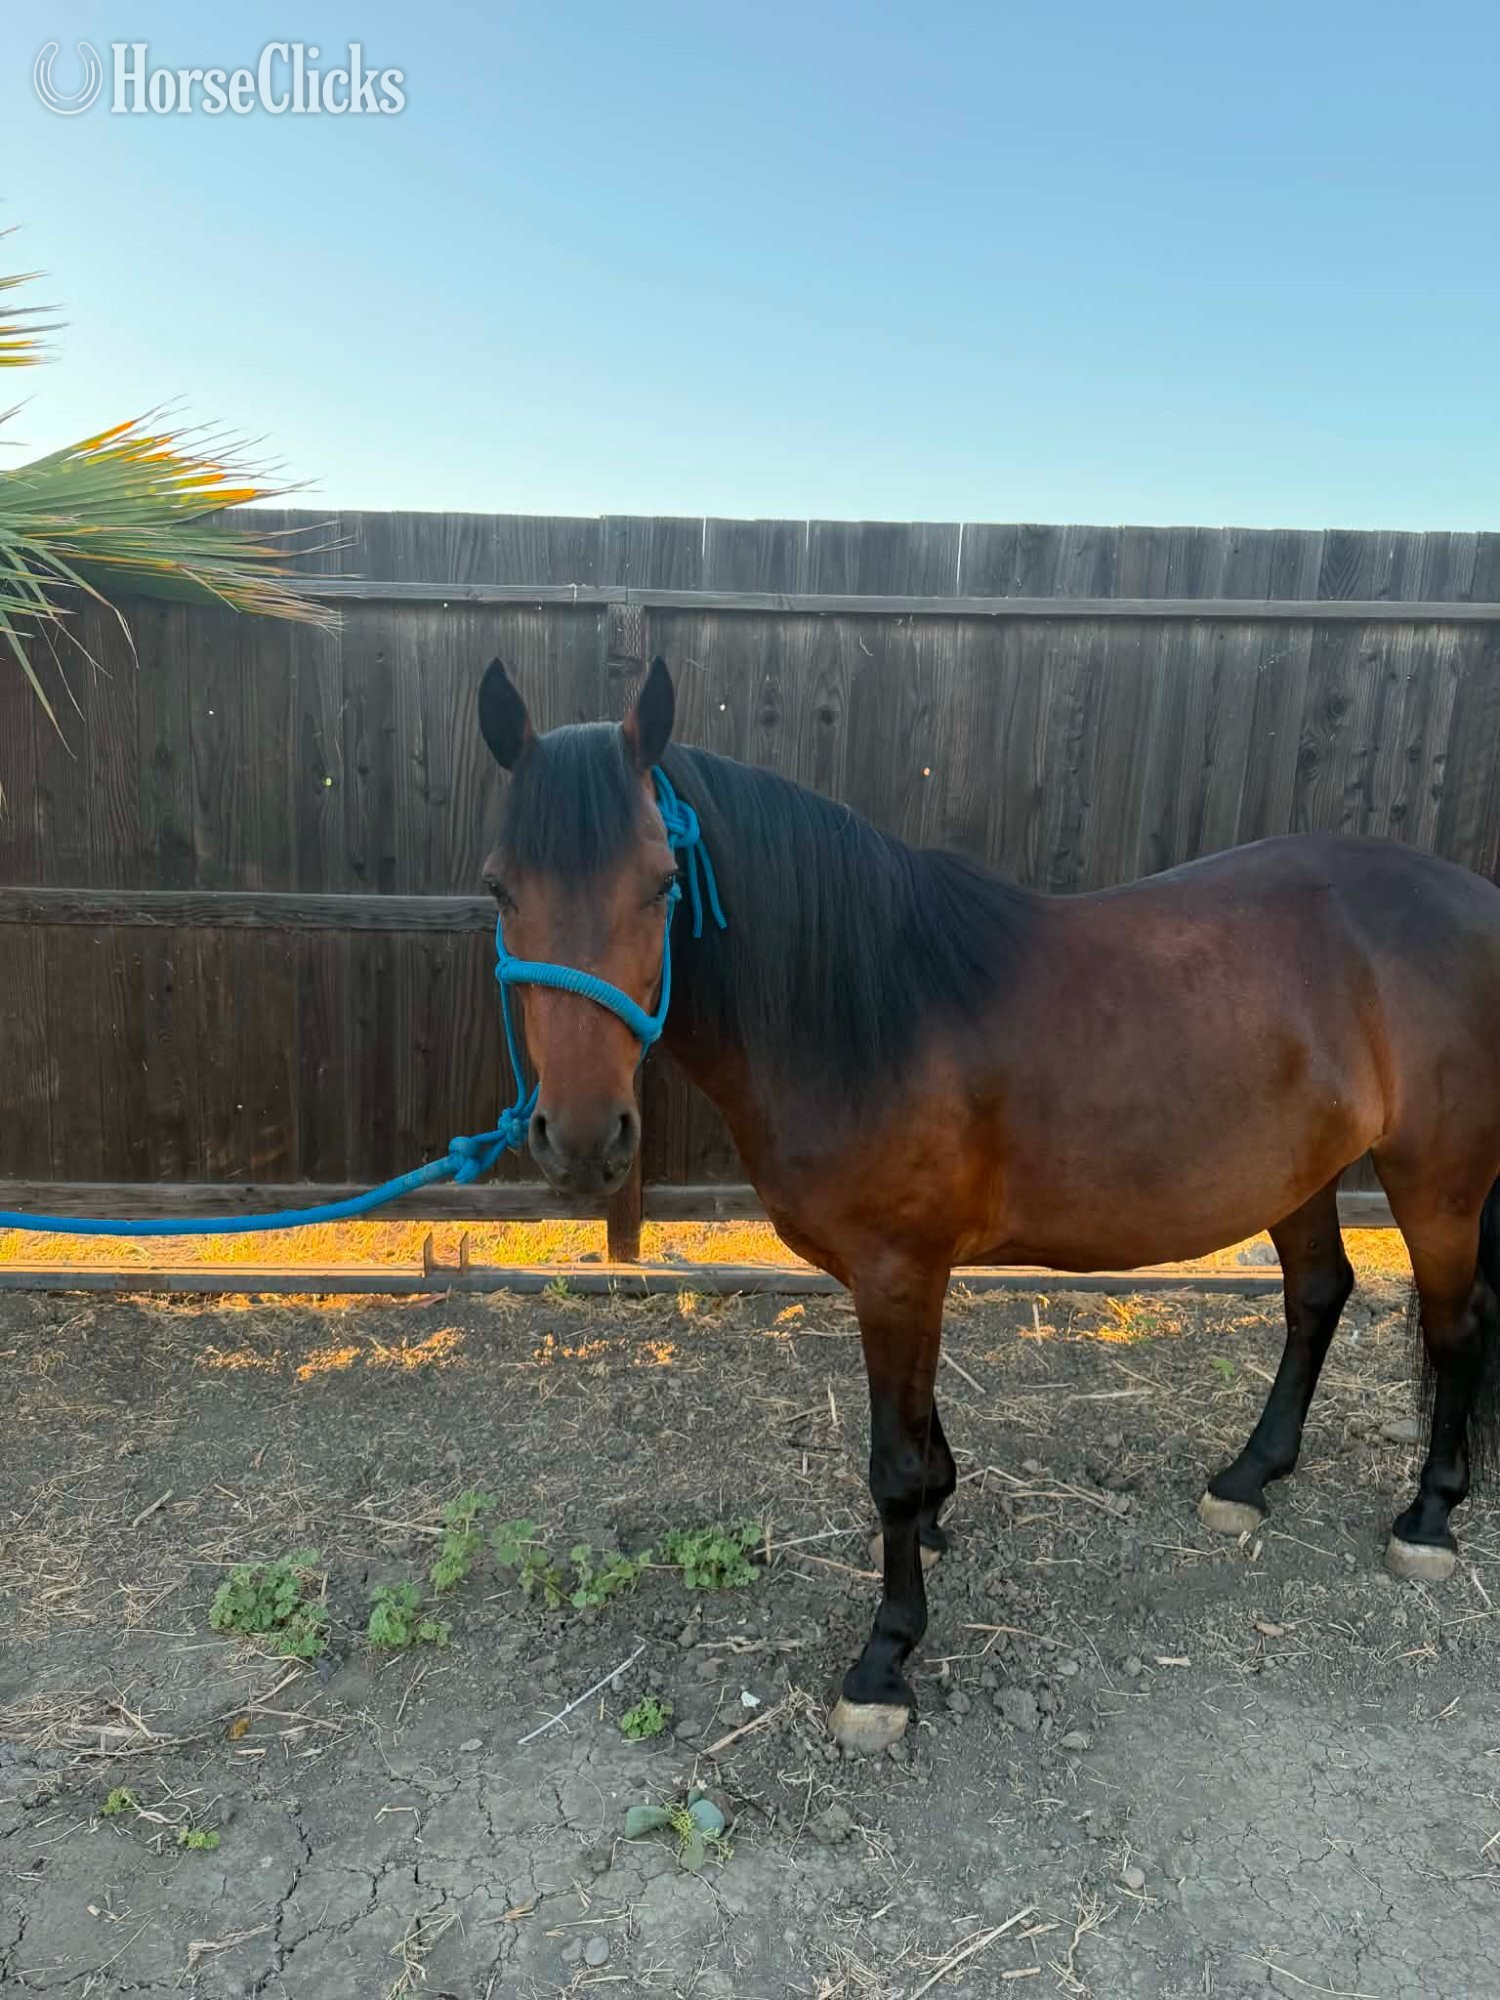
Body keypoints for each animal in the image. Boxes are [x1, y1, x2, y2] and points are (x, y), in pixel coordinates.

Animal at [476, 652, 1500, 1756]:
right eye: (499, 885)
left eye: (663, 882)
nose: (584, 1139)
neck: (869, 1008)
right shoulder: (903, 1275)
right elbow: (920, 1425)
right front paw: (935, 1519)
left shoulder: (897, 1271)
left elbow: (889, 1458)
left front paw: (886, 1658)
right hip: (1298, 1170)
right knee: (1317, 1294)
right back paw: (1247, 1478)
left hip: (1436, 1177)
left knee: (1454, 1327)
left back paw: (1428, 1519)